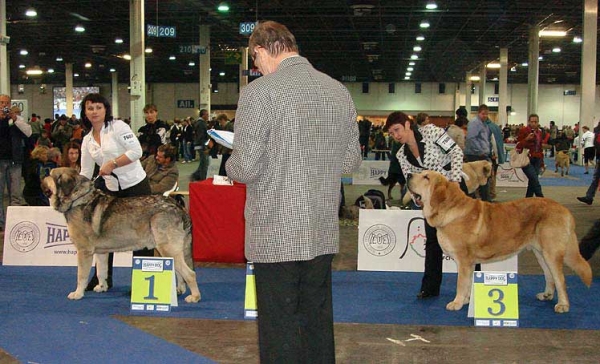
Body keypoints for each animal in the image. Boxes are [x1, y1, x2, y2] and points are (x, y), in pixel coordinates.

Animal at [43, 166, 202, 302]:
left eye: (50, 175)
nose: (42, 178)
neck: (77, 199)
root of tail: (177, 206)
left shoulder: (84, 251)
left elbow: (81, 275)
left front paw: (78, 293)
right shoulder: (101, 252)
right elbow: (101, 271)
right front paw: (102, 287)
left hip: (167, 248)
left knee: (190, 273)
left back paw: (195, 296)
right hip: (170, 249)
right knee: (179, 271)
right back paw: (179, 290)